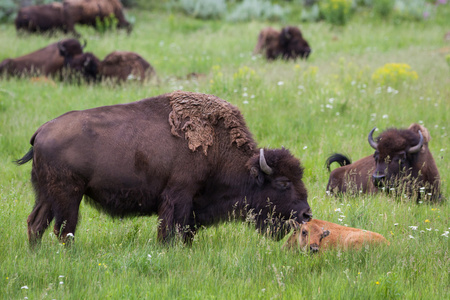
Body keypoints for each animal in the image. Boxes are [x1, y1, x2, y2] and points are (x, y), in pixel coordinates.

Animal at [15, 89, 312, 246]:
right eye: (283, 183)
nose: (307, 214)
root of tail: (41, 131)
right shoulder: (178, 196)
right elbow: (170, 230)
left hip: (46, 195)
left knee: (36, 223)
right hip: (69, 195)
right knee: (63, 229)